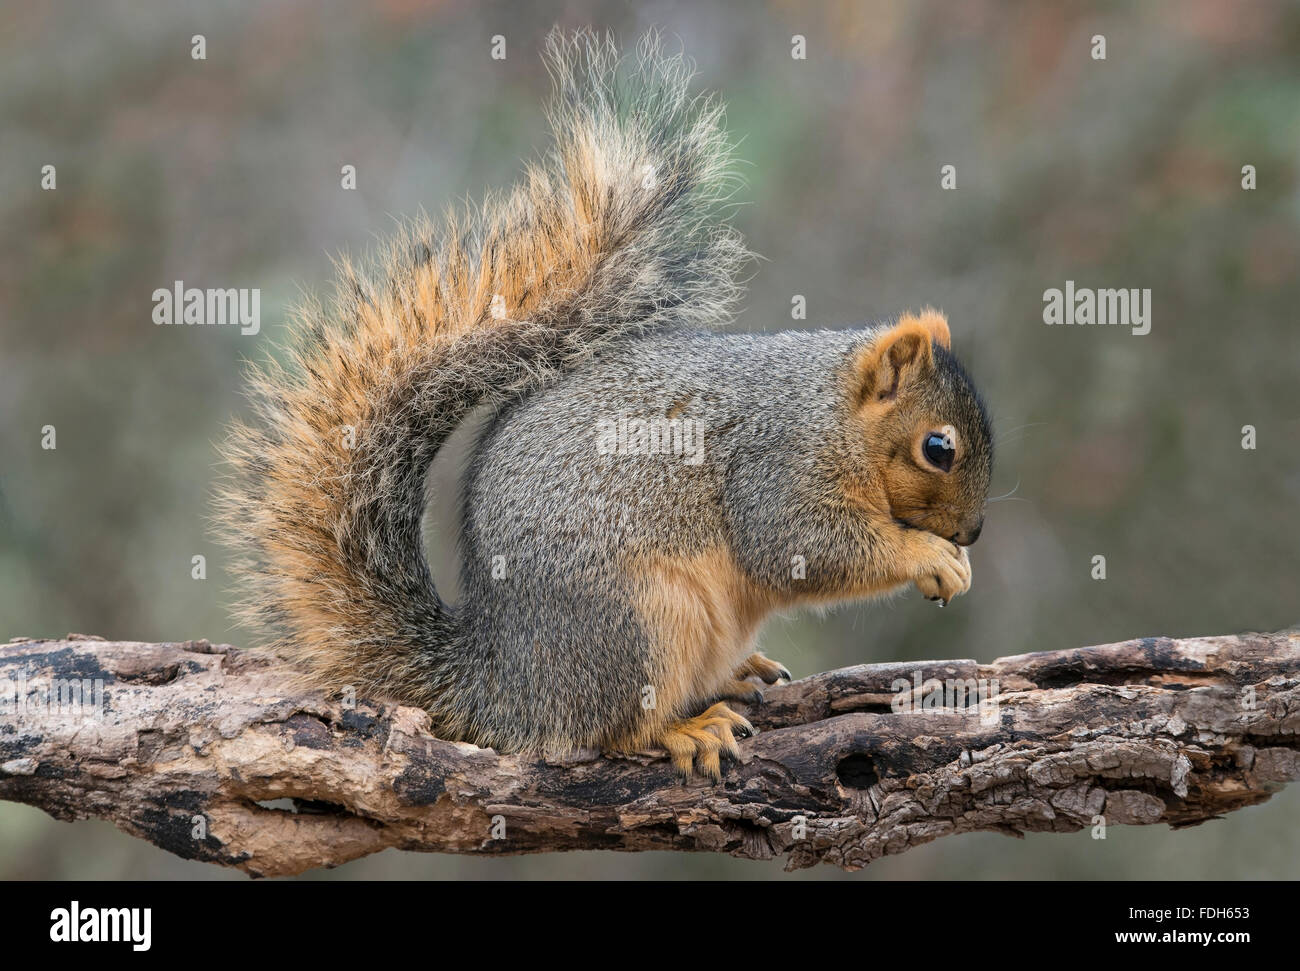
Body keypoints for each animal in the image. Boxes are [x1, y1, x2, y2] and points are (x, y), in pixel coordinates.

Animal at [214, 28, 993, 780]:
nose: (973, 532)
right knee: (614, 730)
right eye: (938, 447)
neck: (832, 414)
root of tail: (505, 684)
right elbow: (805, 548)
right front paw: (932, 556)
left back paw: (738, 674)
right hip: (642, 620)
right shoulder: (777, 467)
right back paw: (686, 727)